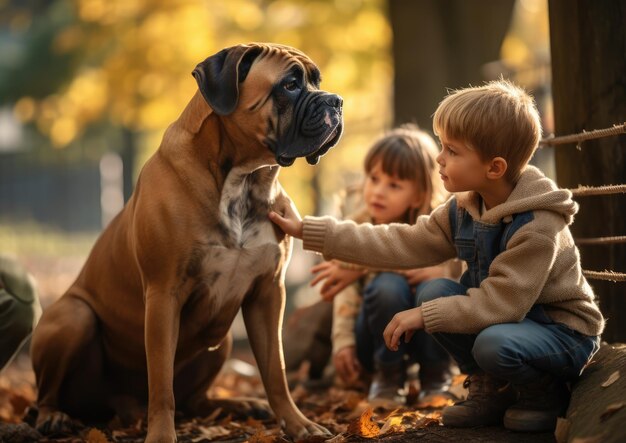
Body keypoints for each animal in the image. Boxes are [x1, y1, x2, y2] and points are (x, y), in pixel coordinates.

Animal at [30, 42, 342, 443]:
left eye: (318, 80)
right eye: (289, 85)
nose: (336, 101)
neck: (243, 180)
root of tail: (119, 408)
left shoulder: (268, 293)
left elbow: (276, 370)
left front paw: (297, 423)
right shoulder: (164, 295)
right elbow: (161, 384)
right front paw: (162, 435)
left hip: (220, 339)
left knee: (197, 401)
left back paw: (243, 405)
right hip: (73, 316)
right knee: (47, 393)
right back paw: (53, 416)